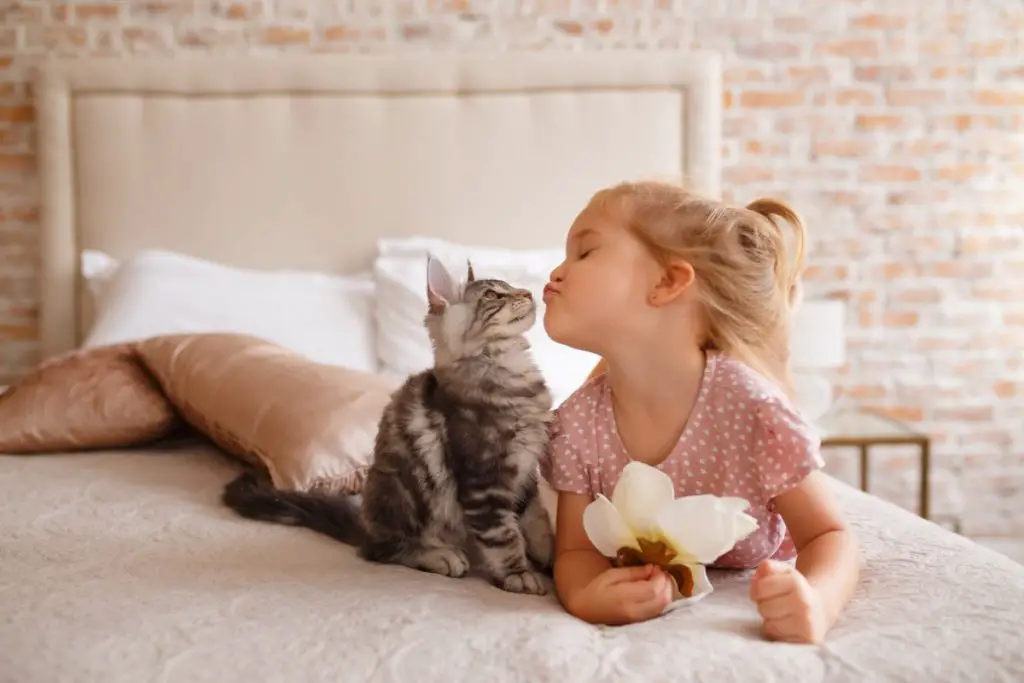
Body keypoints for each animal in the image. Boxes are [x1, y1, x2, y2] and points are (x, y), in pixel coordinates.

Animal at [224, 254, 557, 593]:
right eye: (492, 295)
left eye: (510, 286)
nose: (528, 293)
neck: (510, 371)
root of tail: (365, 525)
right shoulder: (484, 480)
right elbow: (503, 536)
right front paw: (519, 573)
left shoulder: (524, 471)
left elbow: (535, 516)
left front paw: (548, 552)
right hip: (403, 492)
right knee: (381, 550)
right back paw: (439, 555)